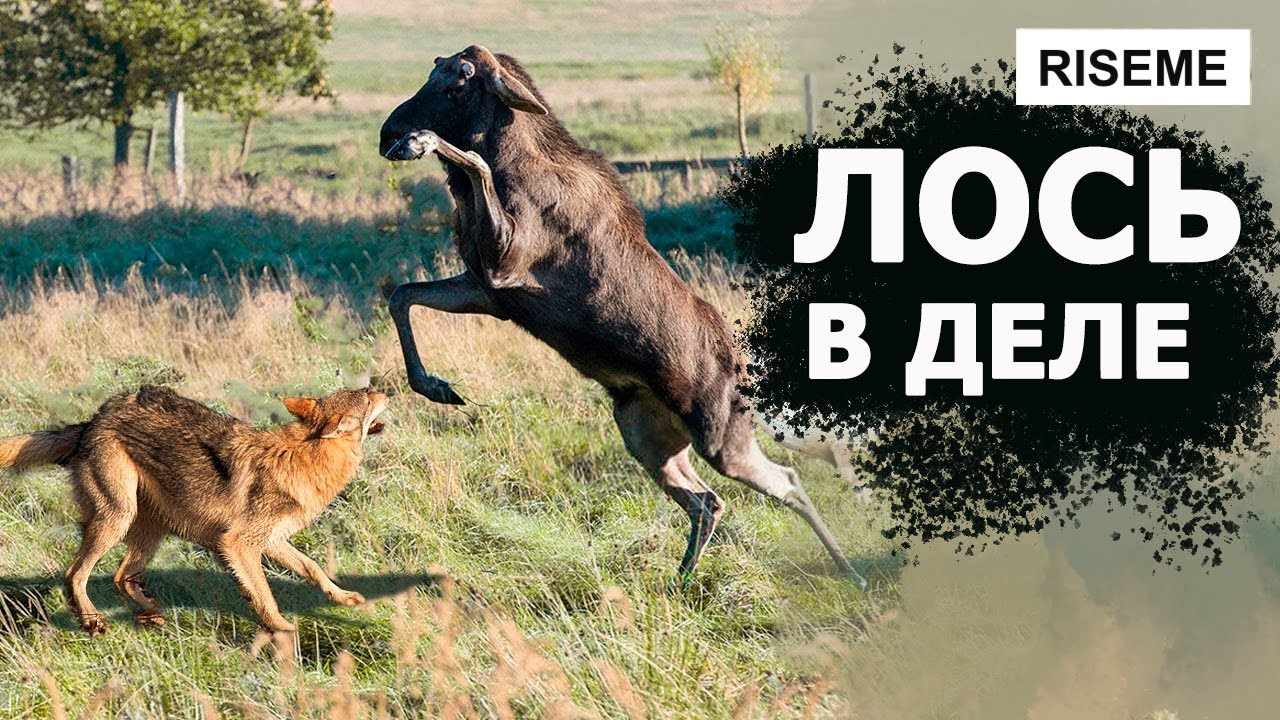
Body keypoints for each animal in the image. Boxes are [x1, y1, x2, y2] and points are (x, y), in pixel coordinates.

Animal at [380, 45, 866, 589]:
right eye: (433, 68)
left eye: (461, 79)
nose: (388, 132)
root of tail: (745, 374)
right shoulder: (487, 290)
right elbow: (400, 295)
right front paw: (438, 387)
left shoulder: (506, 264)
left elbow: (475, 162)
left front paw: (423, 141)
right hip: (645, 436)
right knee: (708, 500)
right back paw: (682, 579)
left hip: (721, 437)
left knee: (787, 480)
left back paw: (852, 571)